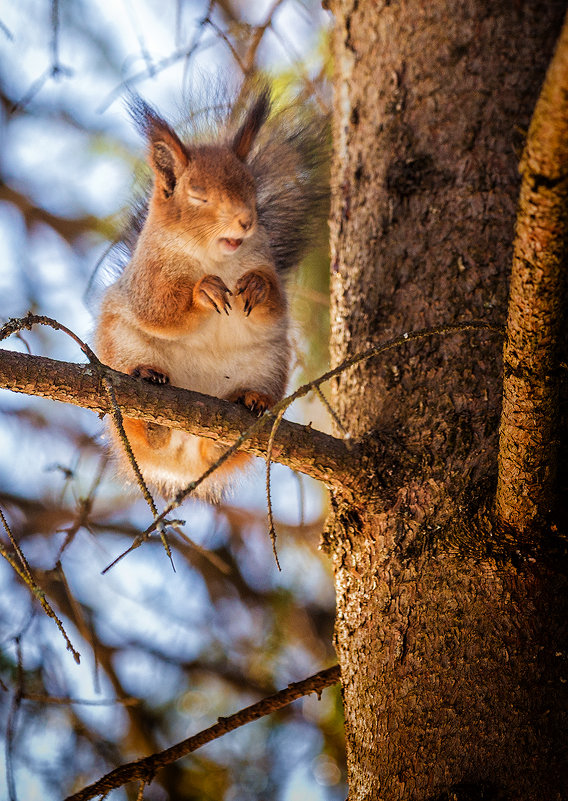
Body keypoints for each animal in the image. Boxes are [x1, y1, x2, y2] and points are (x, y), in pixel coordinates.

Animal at [94, 89, 328, 500]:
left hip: (267, 365)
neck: (216, 257)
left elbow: (275, 302)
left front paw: (256, 286)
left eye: (252, 190)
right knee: (140, 428)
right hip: (122, 346)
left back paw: (248, 402)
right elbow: (161, 307)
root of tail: (182, 456)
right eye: (199, 197)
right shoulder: (148, 275)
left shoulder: (265, 264)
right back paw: (150, 404)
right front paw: (203, 290)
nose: (246, 221)